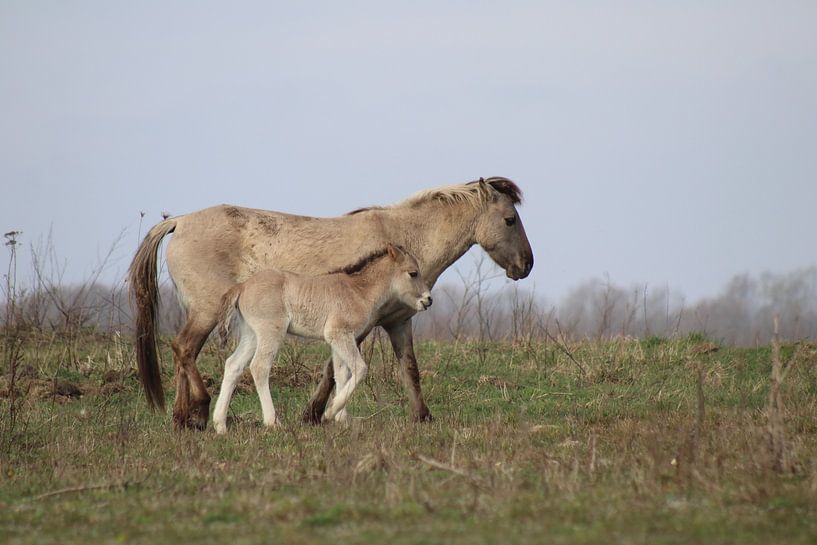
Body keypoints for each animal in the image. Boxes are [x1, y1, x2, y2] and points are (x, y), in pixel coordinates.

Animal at [212, 244, 431, 433]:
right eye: (413, 273)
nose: (428, 300)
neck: (359, 291)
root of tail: (242, 286)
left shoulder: (340, 340)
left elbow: (341, 374)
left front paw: (342, 419)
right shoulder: (339, 334)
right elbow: (359, 368)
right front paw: (329, 413)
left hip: (251, 335)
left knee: (233, 365)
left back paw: (220, 425)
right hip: (271, 332)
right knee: (259, 367)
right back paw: (272, 422)